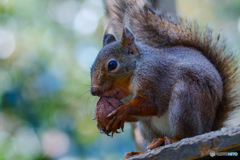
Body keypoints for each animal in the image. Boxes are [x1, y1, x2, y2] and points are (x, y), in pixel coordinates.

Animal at [89, 0, 240, 158]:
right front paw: (100, 119)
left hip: (184, 101)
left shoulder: (155, 76)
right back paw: (146, 148)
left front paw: (121, 111)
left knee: (186, 134)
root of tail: (207, 129)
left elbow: (152, 103)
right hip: (146, 126)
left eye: (112, 65)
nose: (94, 91)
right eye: (91, 67)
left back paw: (173, 140)